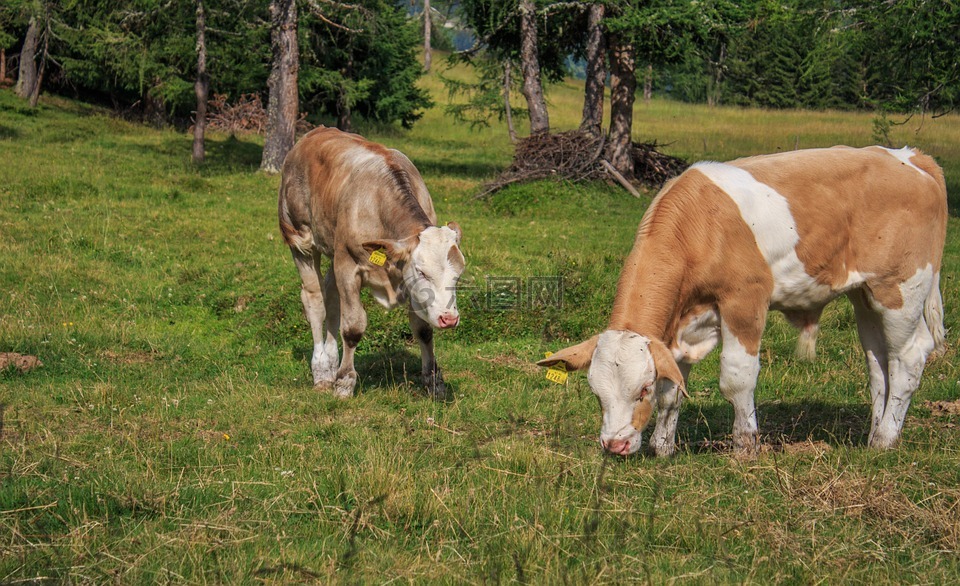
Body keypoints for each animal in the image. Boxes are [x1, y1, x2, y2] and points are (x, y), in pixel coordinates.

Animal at [278, 124, 464, 396]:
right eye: (421, 272)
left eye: (458, 275)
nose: (449, 319)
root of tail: (314, 133)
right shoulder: (348, 266)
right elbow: (353, 327)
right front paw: (344, 383)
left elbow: (423, 330)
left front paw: (433, 381)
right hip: (301, 241)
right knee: (315, 300)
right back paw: (322, 372)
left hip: (333, 250)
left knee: (331, 297)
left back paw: (331, 363)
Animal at [536, 146, 948, 456]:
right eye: (595, 393)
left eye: (642, 389)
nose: (615, 445)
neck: (700, 227)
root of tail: (910, 157)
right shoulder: (680, 327)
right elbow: (674, 388)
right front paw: (663, 447)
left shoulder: (744, 300)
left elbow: (736, 379)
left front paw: (745, 446)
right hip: (864, 295)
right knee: (879, 362)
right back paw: (873, 433)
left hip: (901, 288)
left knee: (909, 357)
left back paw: (886, 440)